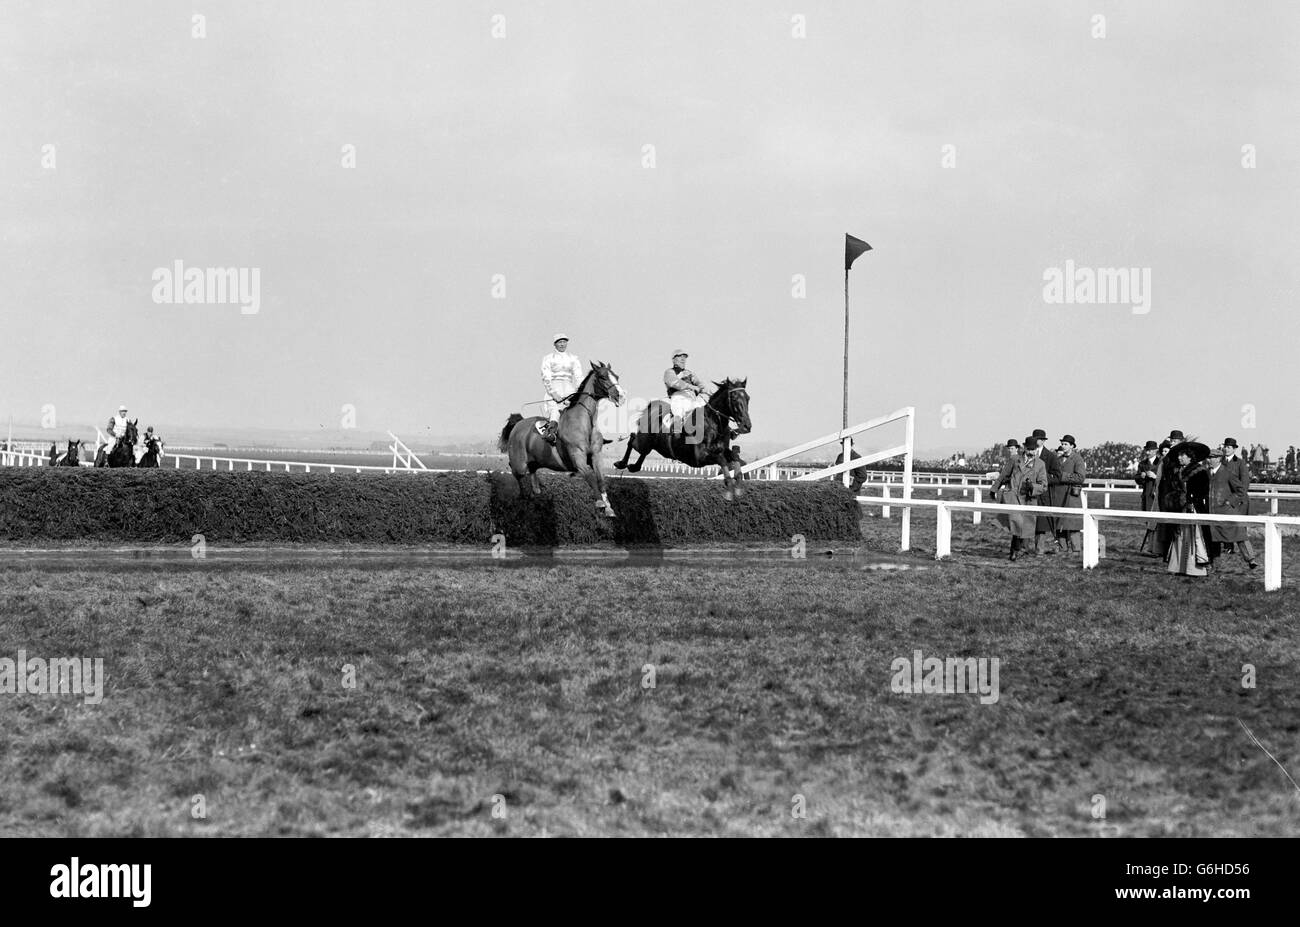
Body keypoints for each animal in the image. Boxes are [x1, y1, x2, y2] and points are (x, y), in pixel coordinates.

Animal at [496, 364, 629, 520]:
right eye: (603, 377)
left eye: (617, 376)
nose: (621, 396)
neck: (584, 424)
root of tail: (518, 424)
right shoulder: (577, 457)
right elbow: (589, 476)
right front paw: (600, 503)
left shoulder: (596, 456)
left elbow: (601, 480)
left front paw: (608, 508)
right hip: (520, 463)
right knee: (516, 471)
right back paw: (523, 494)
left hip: (534, 461)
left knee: (532, 472)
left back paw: (536, 491)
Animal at [616, 377, 759, 499]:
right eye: (734, 398)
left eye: (748, 398)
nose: (746, 425)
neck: (713, 424)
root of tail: (653, 407)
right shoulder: (699, 458)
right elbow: (721, 460)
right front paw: (729, 485)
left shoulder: (722, 450)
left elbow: (734, 457)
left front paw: (738, 483)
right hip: (642, 441)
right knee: (632, 440)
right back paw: (621, 462)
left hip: (650, 444)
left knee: (643, 452)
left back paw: (634, 466)